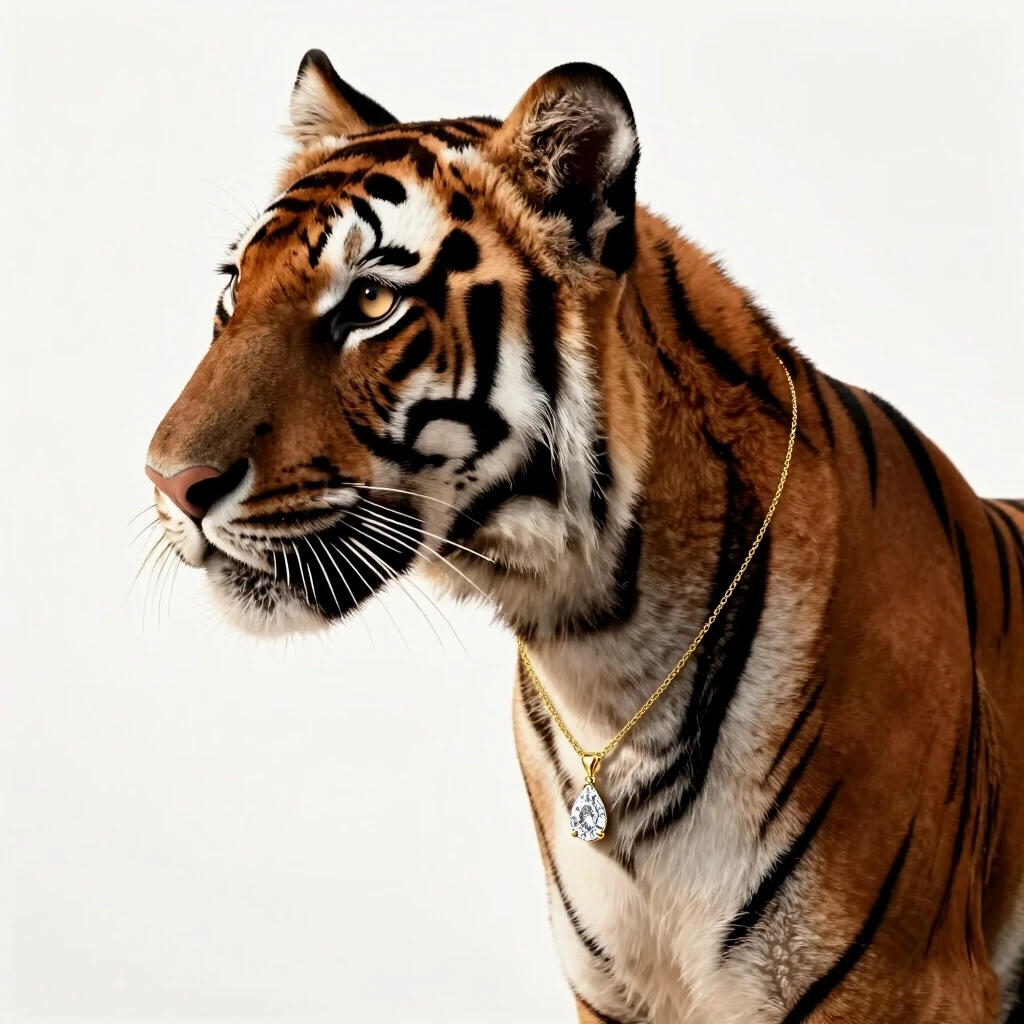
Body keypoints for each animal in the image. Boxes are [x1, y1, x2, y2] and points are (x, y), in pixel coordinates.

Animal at [143, 51, 1024, 1023]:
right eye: (232, 294)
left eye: (371, 300)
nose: (168, 483)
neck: (604, 651)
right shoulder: (614, 991)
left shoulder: (898, 986)